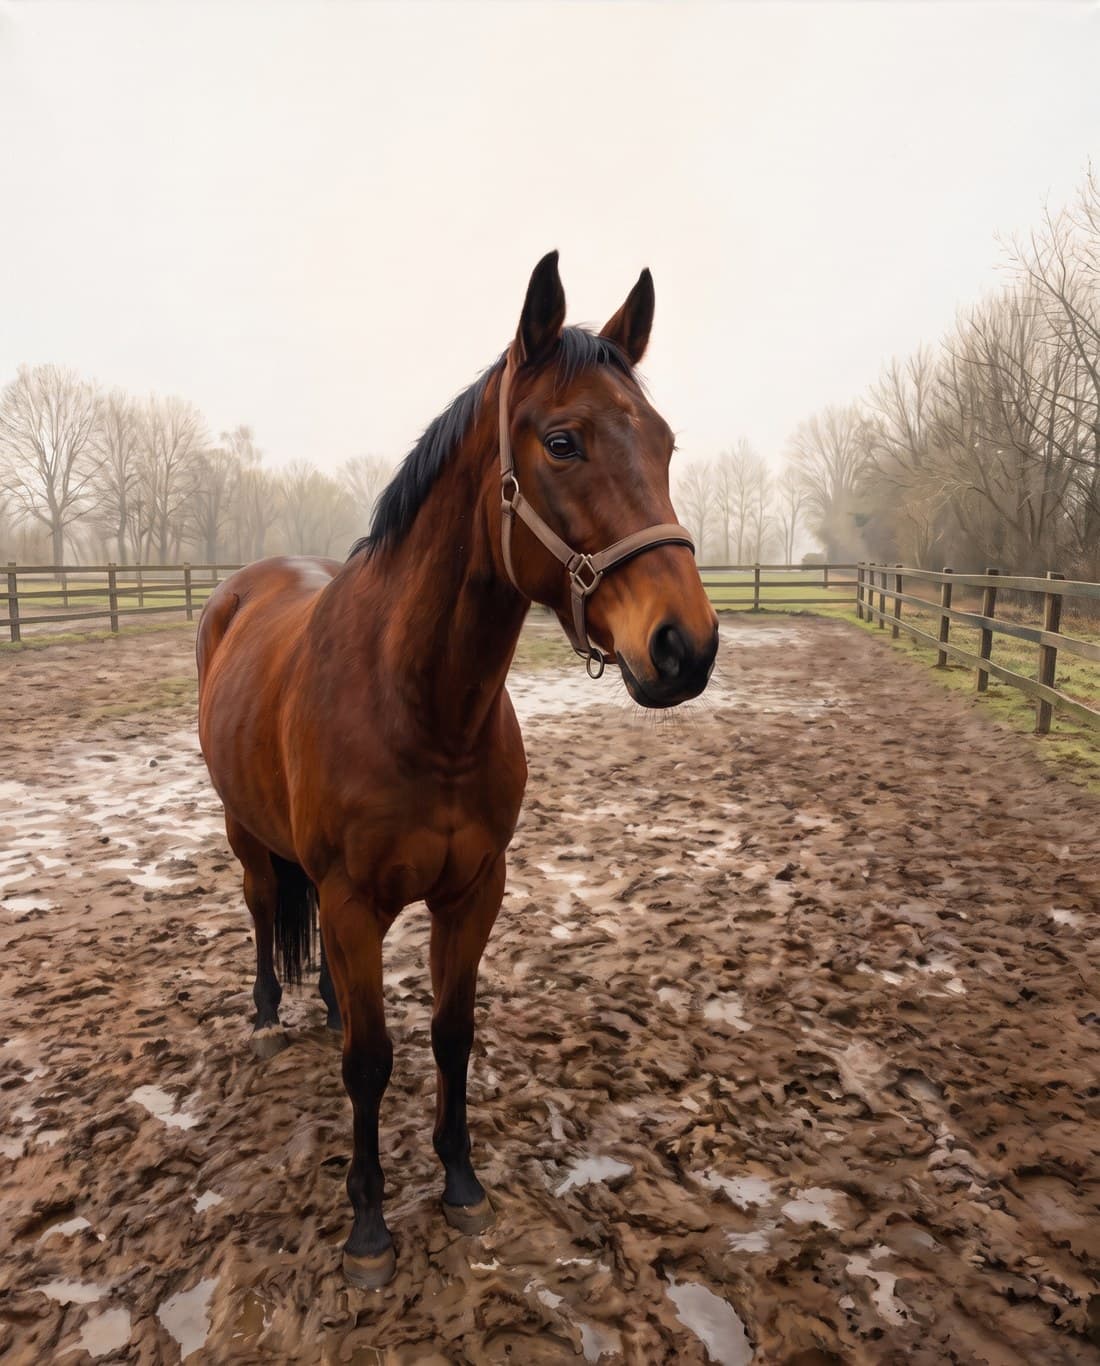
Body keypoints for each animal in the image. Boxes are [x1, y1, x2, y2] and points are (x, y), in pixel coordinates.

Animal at [195, 252, 719, 1288]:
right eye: (562, 441)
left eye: (666, 443)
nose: (686, 646)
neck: (420, 709)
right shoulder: (354, 897)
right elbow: (370, 1061)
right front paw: (368, 1224)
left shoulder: (474, 890)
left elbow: (449, 1033)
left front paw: (461, 1182)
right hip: (246, 835)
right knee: (262, 910)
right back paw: (270, 1014)